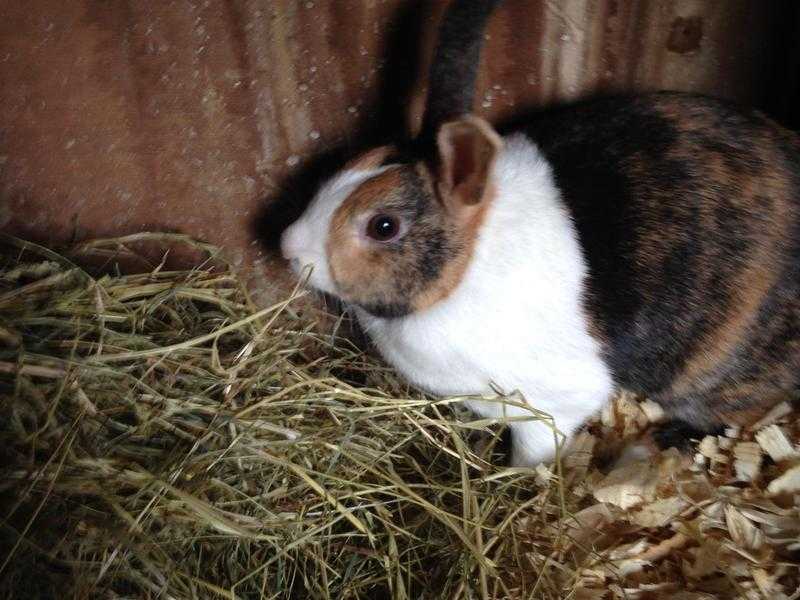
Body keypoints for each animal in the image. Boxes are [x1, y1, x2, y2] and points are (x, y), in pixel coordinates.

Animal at [280, 0, 800, 466]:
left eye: (383, 226)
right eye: (353, 163)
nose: (288, 246)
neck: (466, 268)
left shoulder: (550, 404)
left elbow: (535, 451)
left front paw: (516, 478)